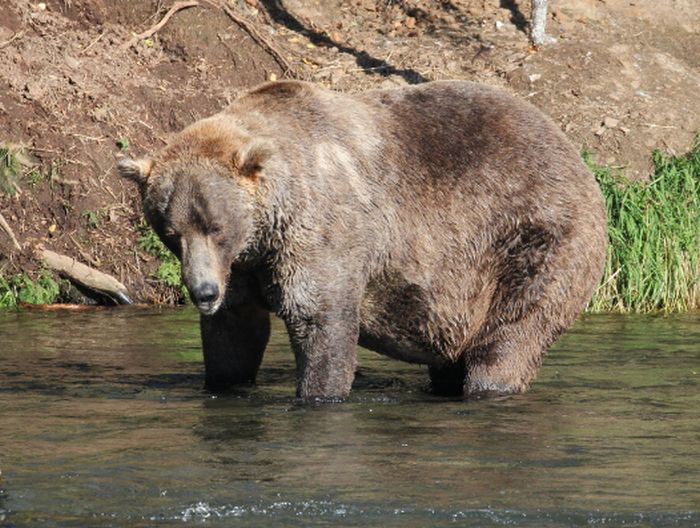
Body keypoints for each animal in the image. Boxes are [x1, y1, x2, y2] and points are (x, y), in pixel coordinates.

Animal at [119, 80, 608, 398]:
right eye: (171, 232)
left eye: (216, 227)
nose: (203, 292)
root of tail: (575, 154)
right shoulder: (244, 267)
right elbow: (235, 333)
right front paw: (224, 382)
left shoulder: (322, 232)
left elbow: (321, 320)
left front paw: (319, 392)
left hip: (532, 239)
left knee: (511, 333)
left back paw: (489, 385)